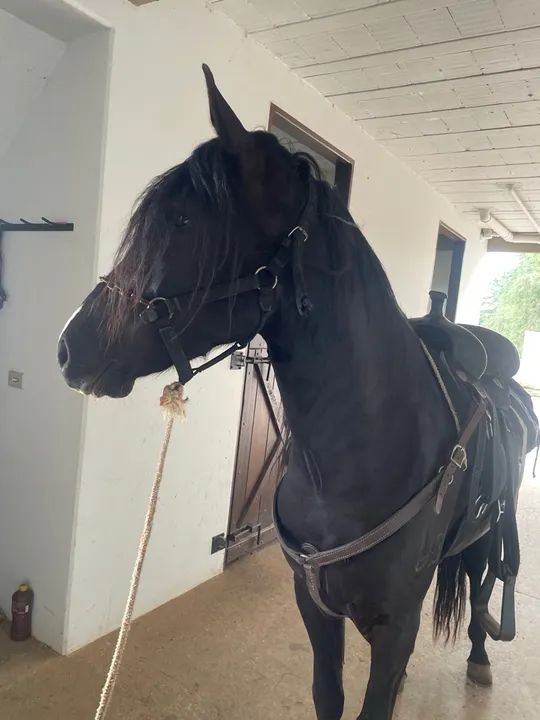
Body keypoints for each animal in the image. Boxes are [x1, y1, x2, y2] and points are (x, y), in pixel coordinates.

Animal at [58, 65, 538, 720]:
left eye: (182, 222)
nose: (68, 347)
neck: (360, 460)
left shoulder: (395, 628)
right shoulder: (315, 608)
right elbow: (329, 697)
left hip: (492, 531)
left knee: (486, 582)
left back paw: (482, 655)